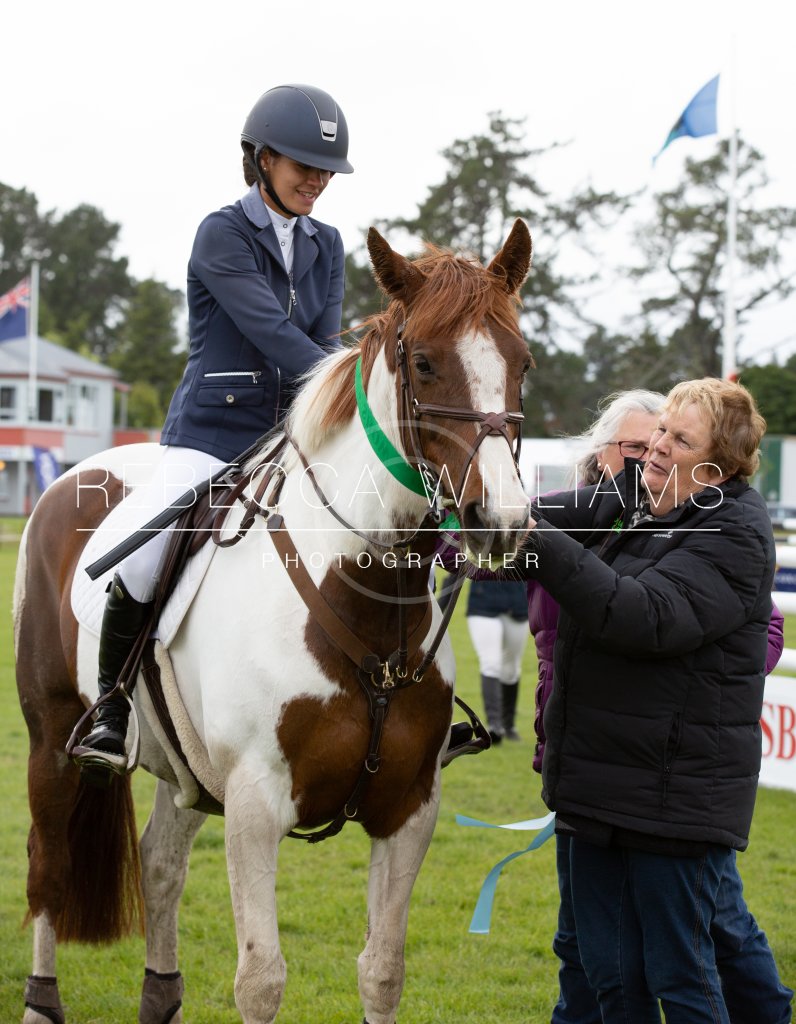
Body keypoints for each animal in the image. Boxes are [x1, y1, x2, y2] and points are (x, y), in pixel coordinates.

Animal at [13, 220, 533, 1024]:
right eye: (424, 363)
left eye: (523, 364)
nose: (498, 521)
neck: (363, 604)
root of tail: (76, 475)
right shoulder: (256, 805)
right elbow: (261, 980)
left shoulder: (410, 810)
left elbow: (382, 972)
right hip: (52, 739)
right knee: (51, 864)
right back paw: (42, 1001)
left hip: (186, 771)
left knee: (160, 866)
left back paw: (160, 994)